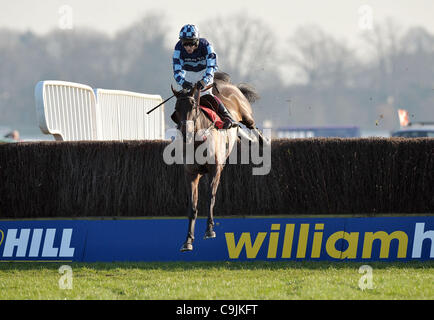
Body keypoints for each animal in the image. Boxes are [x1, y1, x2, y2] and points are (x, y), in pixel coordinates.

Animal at [171, 71, 262, 251]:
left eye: (193, 106)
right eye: (177, 109)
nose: (186, 133)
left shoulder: (215, 169)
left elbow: (210, 197)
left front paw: (209, 230)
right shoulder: (191, 173)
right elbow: (193, 206)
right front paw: (188, 240)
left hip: (246, 114)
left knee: (253, 126)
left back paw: (263, 141)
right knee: (243, 133)